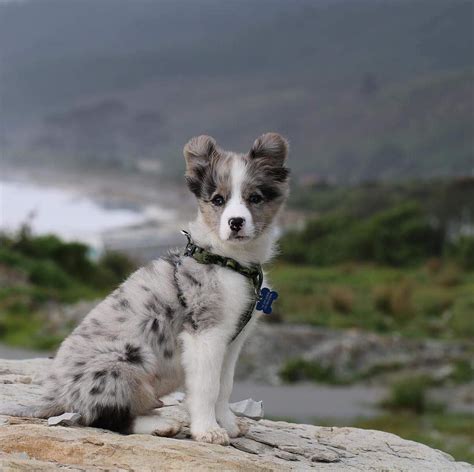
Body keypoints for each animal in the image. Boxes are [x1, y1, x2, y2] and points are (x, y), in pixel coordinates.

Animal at [0, 134, 290, 446]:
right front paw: (208, 430)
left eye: (255, 198)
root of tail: (54, 396)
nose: (236, 223)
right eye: (218, 200)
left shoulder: (232, 340)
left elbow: (224, 386)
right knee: (104, 417)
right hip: (125, 363)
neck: (229, 259)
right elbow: (207, 387)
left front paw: (229, 424)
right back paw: (161, 425)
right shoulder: (204, 334)